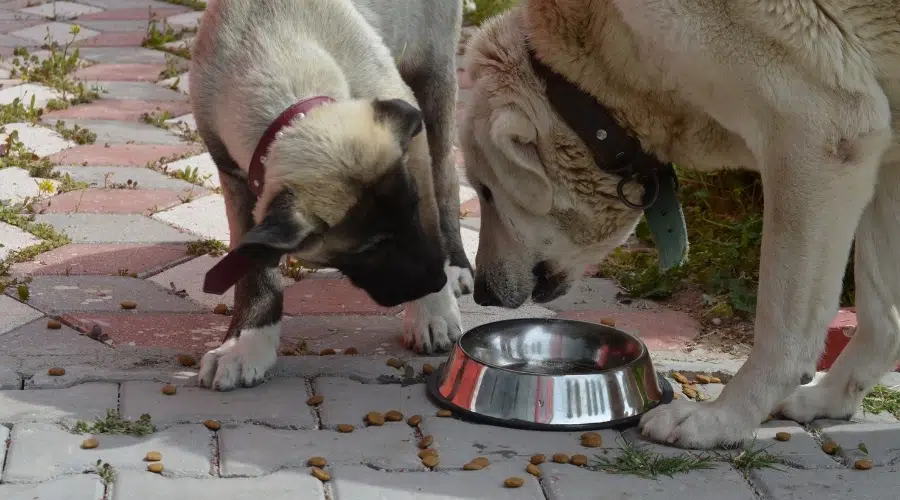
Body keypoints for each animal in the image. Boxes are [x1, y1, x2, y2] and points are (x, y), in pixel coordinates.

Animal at [187, 0, 474, 390]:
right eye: (369, 249)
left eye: (413, 211)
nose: (435, 281)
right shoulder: (238, 181)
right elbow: (255, 271)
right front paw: (247, 343)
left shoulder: (412, 151)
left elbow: (430, 226)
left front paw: (432, 313)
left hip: (435, 75)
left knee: (446, 180)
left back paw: (456, 266)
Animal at [460, 1, 896, 450]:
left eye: (486, 191)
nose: (481, 293)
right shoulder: (883, 157)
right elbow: (881, 317)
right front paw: (832, 399)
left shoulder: (817, 132)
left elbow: (782, 329)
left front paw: (722, 419)